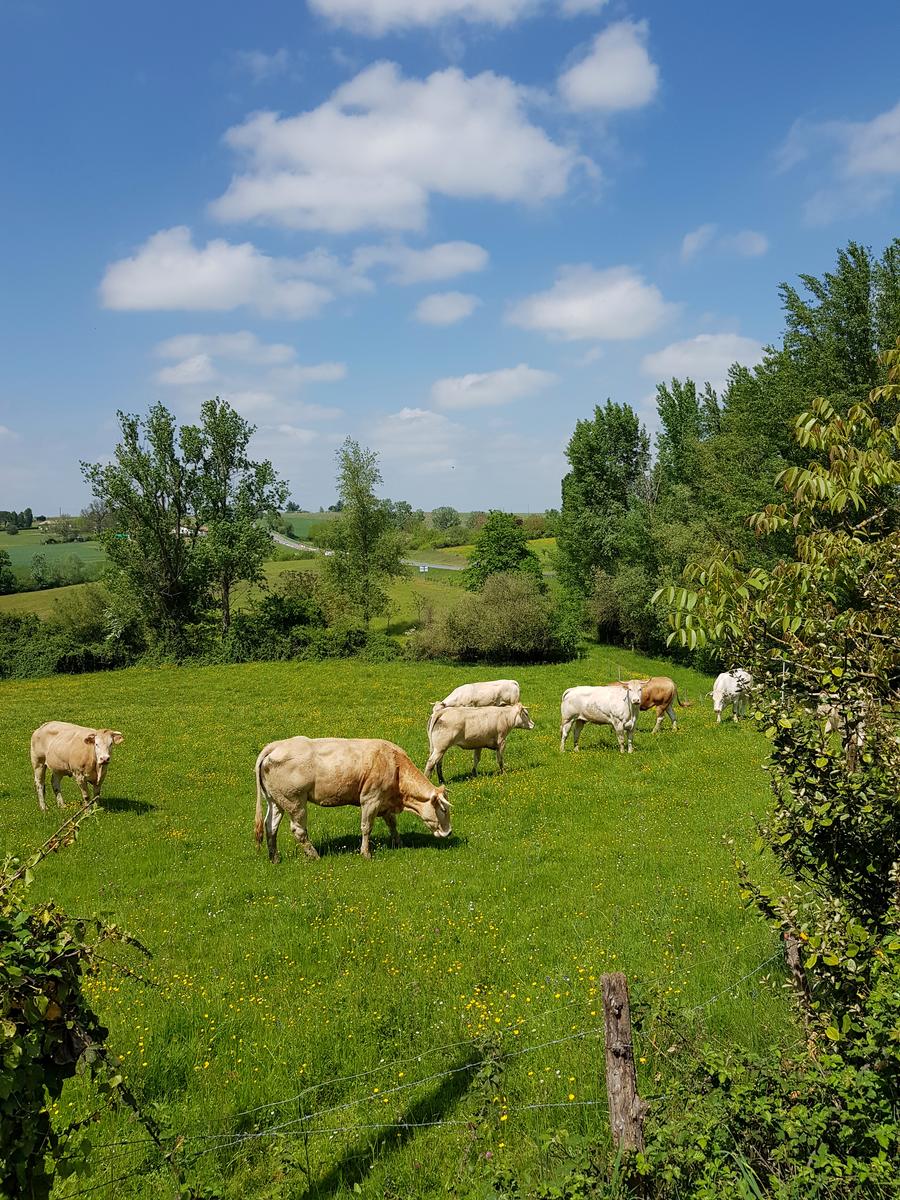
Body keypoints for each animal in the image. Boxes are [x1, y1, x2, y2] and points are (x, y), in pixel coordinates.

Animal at [254, 729, 451, 864]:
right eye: (443, 809)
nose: (448, 832)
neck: (394, 765)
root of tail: (276, 745)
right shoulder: (371, 799)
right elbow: (366, 827)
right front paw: (366, 853)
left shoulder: (385, 801)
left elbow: (392, 823)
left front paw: (399, 842)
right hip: (295, 802)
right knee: (298, 830)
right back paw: (314, 856)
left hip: (276, 801)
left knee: (270, 826)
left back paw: (274, 858)